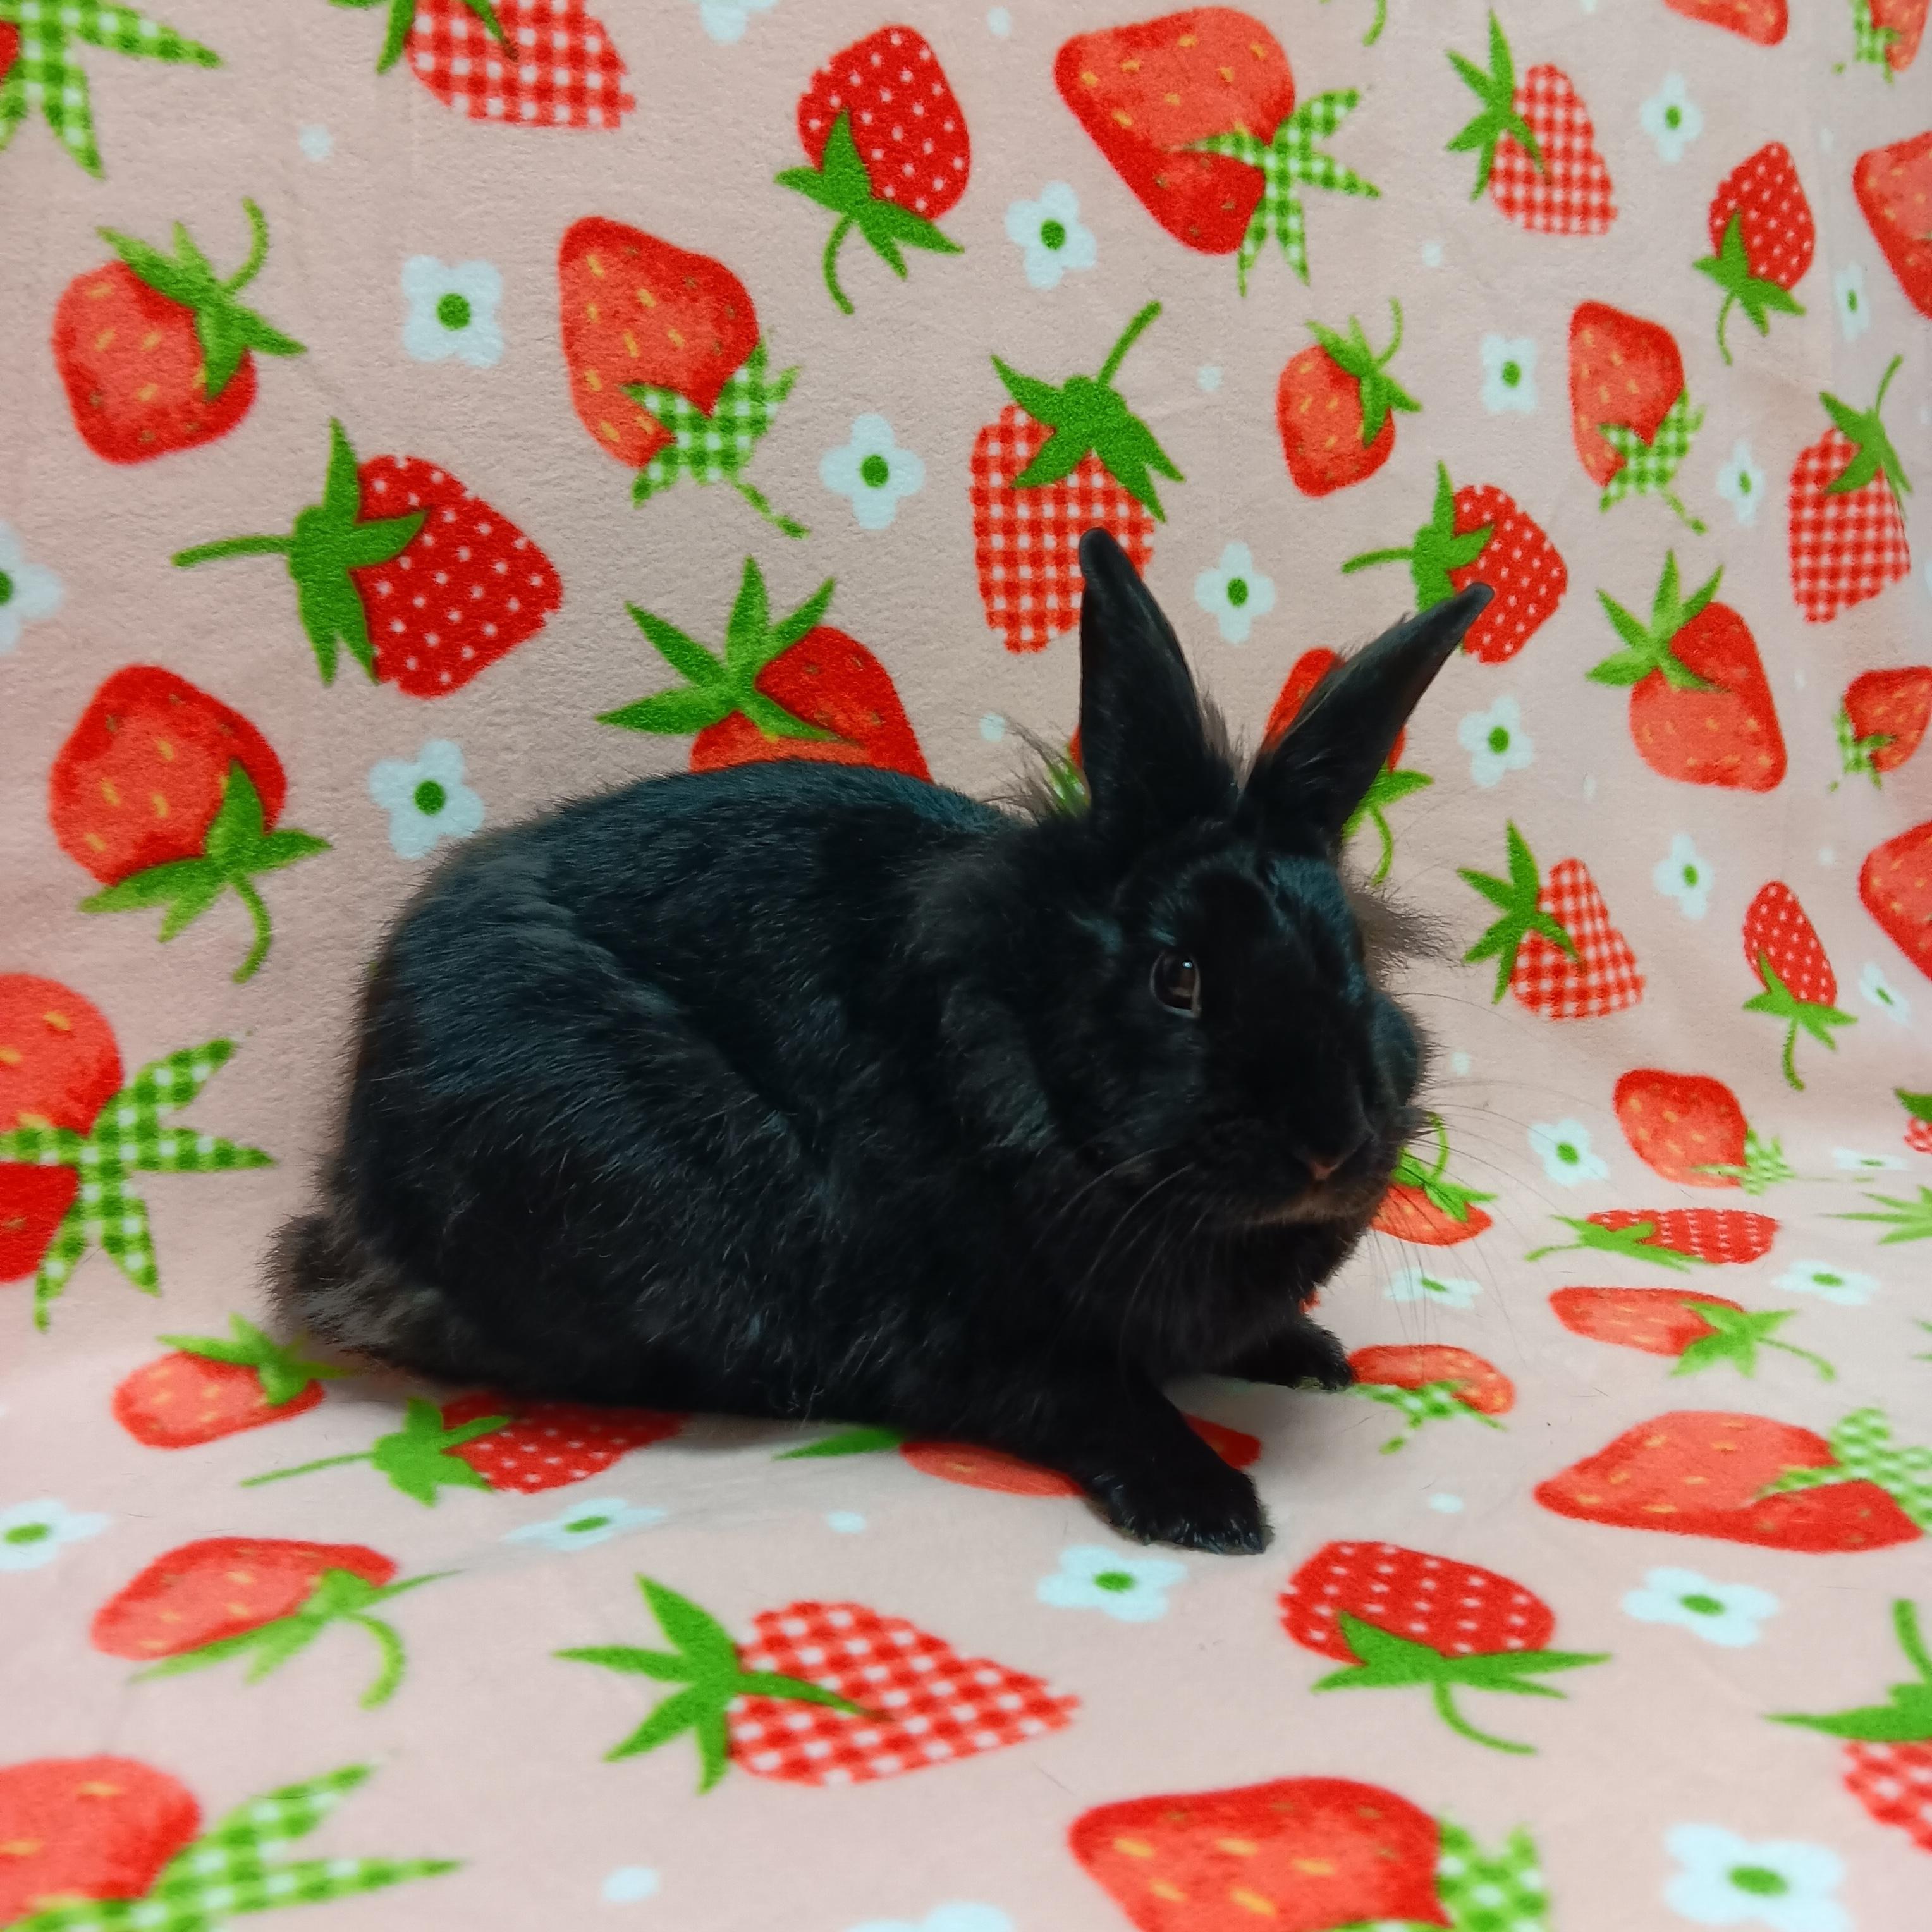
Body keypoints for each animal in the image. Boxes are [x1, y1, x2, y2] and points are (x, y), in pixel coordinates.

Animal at [272, 528, 1490, 1553]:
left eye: (1355, 961)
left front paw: (1313, 1359)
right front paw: (1212, 1507)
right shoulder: (964, 1330)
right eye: (1178, 978)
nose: (1329, 1145)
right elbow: (1095, 1393)